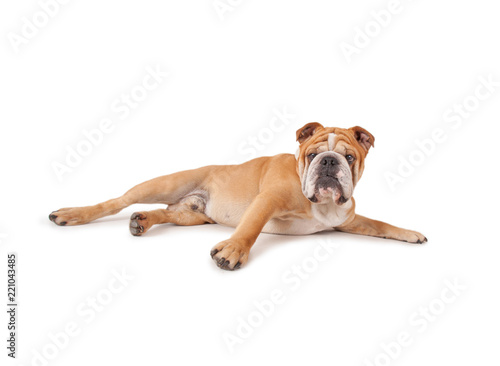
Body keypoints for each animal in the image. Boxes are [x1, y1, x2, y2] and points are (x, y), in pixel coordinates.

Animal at [49, 123, 426, 268]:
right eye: (312, 154)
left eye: (349, 157)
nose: (330, 161)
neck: (322, 204)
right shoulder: (267, 200)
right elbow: (251, 227)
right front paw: (233, 250)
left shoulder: (347, 220)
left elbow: (380, 223)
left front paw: (410, 233)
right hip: (161, 184)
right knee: (115, 202)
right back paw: (71, 213)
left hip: (190, 214)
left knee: (167, 212)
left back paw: (143, 220)